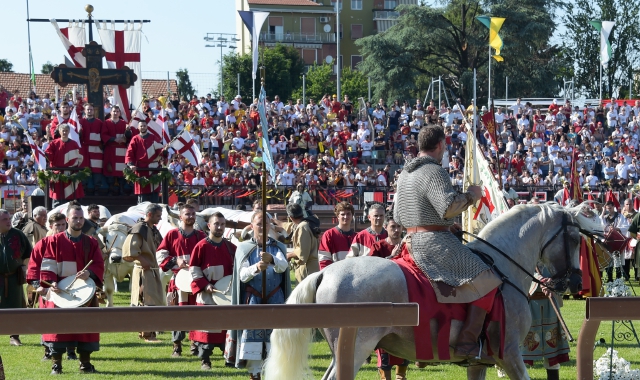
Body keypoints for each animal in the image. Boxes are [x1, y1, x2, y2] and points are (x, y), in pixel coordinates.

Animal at [262, 203, 604, 378]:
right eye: (574, 238)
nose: (575, 283)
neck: (504, 267)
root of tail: (324, 273)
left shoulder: (478, 364)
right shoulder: (509, 356)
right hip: (357, 349)